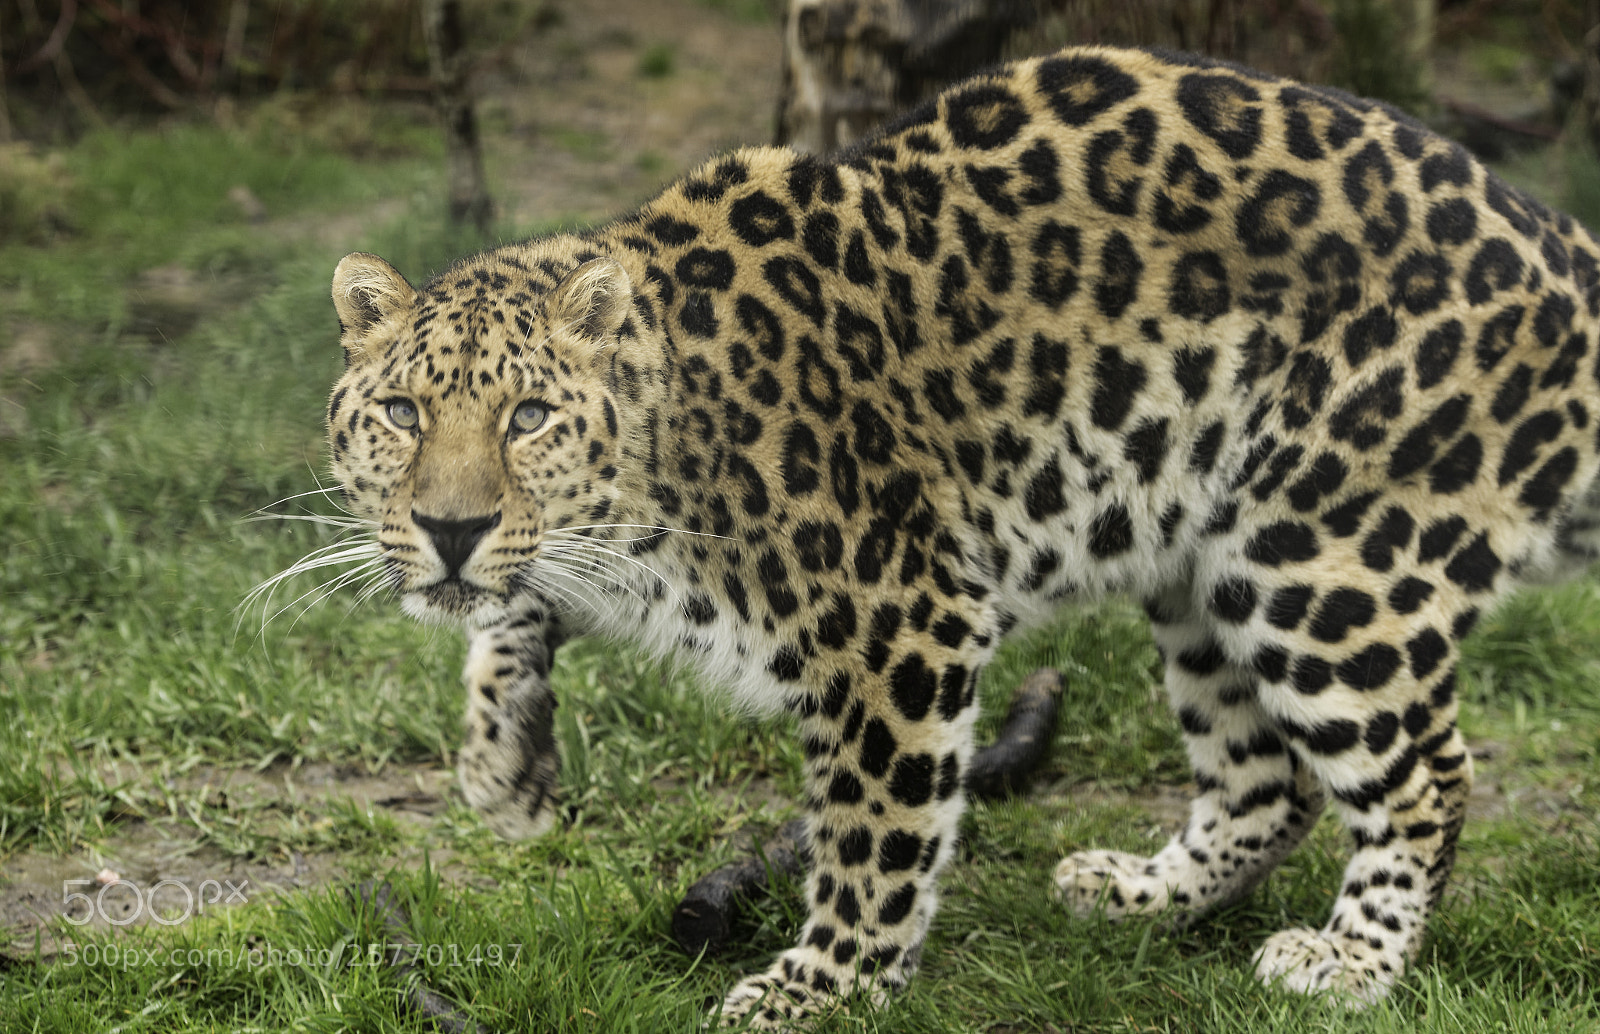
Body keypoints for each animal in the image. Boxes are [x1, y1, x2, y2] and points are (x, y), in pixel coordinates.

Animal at [314, 44, 1600, 1026]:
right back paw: (1140, 890)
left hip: (1325, 560)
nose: (449, 525)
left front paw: (824, 986)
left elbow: (873, 829)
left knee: (1426, 771)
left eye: (527, 416)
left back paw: (1352, 960)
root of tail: (1559, 247)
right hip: (1204, 564)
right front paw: (504, 765)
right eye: (402, 413)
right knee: (1265, 774)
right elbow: (511, 611)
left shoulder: (899, 620)